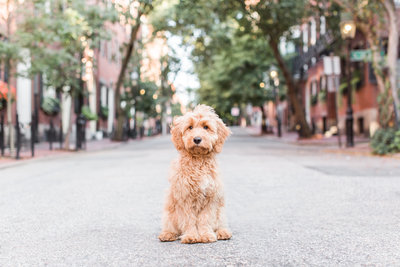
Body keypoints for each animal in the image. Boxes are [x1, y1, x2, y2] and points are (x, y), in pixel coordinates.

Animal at [159, 104, 231, 245]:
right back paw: (167, 234)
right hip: (169, 212)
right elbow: (188, 220)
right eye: (190, 127)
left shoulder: (211, 198)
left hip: (221, 210)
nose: (197, 139)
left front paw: (206, 235)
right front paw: (191, 236)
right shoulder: (184, 197)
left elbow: (205, 219)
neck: (198, 161)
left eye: (206, 127)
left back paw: (223, 232)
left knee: (220, 223)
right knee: (171, 226)